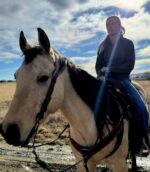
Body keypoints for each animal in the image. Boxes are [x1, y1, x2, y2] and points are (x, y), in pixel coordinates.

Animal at [0, 27, 147, 171]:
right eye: (16, 76)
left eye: (44, 77)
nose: (9, 131)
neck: (91, 126)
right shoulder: (82, 164)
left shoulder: (119, 163)